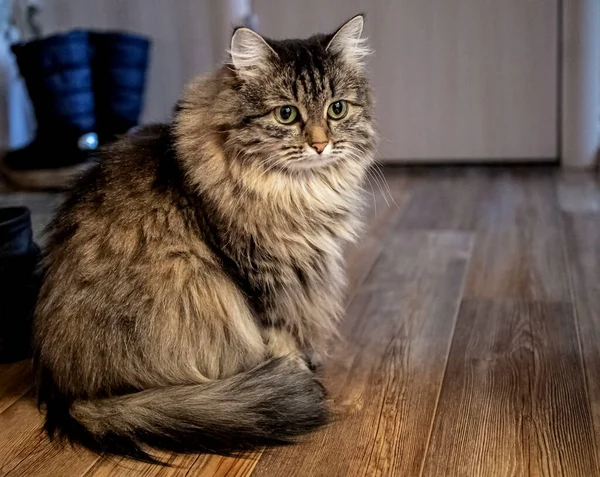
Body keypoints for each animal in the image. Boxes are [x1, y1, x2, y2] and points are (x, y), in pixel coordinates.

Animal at [32, 13, 376, 462]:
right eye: (286, 114)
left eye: (337, 109)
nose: (321, 144)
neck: (297, 192)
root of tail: (65, 394)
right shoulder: (260, 279)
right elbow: (279, 336)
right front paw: (296, 372)